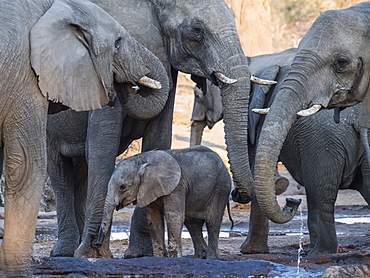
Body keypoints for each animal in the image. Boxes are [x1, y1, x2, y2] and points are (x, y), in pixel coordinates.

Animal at [97, 146, 233, 258]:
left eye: (122, 187)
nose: (98, 243)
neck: (143, 160)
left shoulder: (177, 186)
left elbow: (173, 217)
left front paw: (175, 258)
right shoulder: (150, 189)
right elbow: (154, 220)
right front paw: (160, 257)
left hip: (221, 187)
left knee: (212, 221)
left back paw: (211, 258)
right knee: (192, 224)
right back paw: (199, 257)